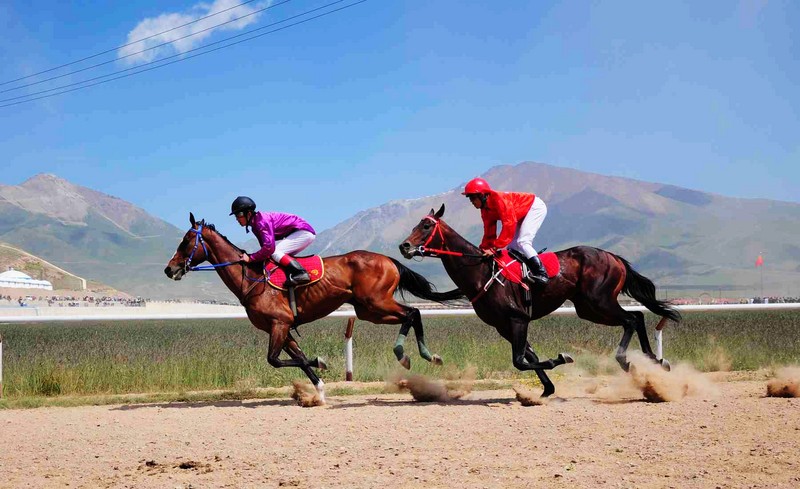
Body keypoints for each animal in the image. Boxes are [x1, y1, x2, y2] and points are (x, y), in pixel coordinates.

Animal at [162, 213, 462, 400]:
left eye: (186, 241)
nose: (169, 269)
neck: (252, 278)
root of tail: (388, 259)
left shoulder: (279, 323)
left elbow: (276, 360)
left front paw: (322, 362)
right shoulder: (281, 329)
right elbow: (296, 357)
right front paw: (319, 392)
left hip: (376, 302)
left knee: (412, 312)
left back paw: (410, 355)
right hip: (369, 311)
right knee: (413, 313)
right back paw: (426, 355)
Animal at [396, 204, 680, 398]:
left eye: (426, 226)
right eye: (415, 225)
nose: (404, 246)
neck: (481, 273)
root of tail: (614, 257)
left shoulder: (518, 319)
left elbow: (520, 360)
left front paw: (561, 359)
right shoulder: (504, 326)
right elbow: (527, 356)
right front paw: (547, 389)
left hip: (598, 303)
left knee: (632, 318)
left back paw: (629, 360)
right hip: (588, 308)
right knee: (638, 316)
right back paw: (655, 361)